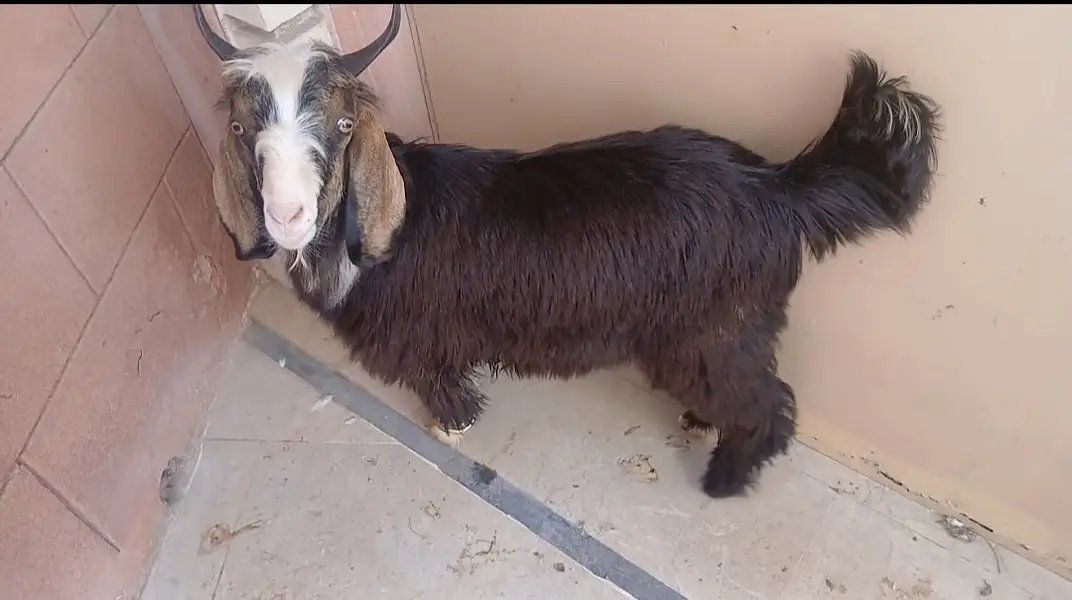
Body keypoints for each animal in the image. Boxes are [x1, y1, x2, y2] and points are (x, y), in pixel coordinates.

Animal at [195, 5, 941, 498]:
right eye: (240, 127)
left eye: (343, 123)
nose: (287, 216)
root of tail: (779, 185)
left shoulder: (417, 340)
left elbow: (437, 380)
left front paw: (454, 421)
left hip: (714, 330)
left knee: (771, 404)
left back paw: (723, 478)